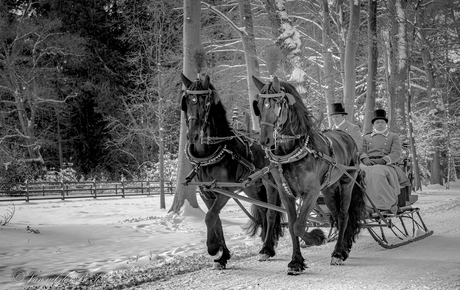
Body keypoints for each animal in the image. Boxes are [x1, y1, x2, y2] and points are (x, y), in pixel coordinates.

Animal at [180, 73, 284, 270]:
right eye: (186, 101)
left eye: (205, 103)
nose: (192, 135)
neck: (209, 154)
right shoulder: (206, 192)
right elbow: (216, 220)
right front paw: (223, 256)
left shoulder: (225, 191)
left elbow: (210, 217)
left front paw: (212, 247)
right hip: (252, 188)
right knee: (262, 211)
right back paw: (265, 245)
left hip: (271, 183)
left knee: (271, 213)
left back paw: (267, 248)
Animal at [252, 75, 366, 274]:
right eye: (258, 105)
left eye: (276, 103)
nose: (264, 140)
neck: (291, 152)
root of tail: (347, 136)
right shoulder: (286, 194)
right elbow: (292, 226)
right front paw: (296, 262)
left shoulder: (311, 193)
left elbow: (299, 226)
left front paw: (316, 237)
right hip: (329, 190)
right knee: (336, 215)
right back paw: (342, 247)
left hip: (347, 183)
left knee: (344, 215)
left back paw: (338, 252)